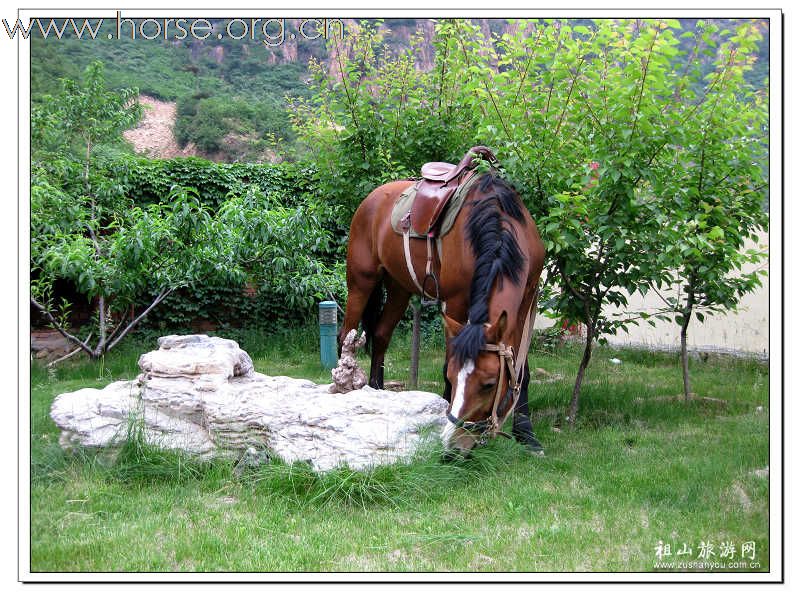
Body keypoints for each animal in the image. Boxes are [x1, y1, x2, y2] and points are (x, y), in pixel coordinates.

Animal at [340, 169, 548, 454]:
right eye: (453, 376)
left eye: (489, 384)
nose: (458, 443)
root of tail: (372, 198)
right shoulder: (455, 301)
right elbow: (450, 356)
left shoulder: (526, 302)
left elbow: (520, 367)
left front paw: (526, 433)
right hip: (361, 281)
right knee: (345, 335)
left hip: (399, 288)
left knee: (381, 335)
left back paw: (378, 389)